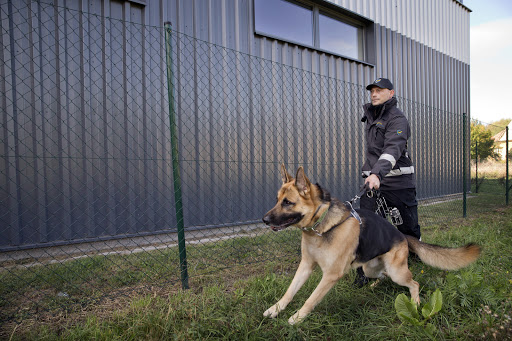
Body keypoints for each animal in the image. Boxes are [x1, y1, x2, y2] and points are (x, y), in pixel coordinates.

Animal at [262, 165, 482, 324]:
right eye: (277, 200)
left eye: (288, 202)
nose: (264, 220)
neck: (322, 226)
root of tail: (402, 235)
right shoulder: (306, 266)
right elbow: (290, 291)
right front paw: (276, 309)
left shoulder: (330, 275)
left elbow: (311, 298)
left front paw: (297, 317)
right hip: (370, 268)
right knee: (382, 276)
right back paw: (375, 286)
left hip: (397, 272)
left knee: (414, 283)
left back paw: (415, 302)